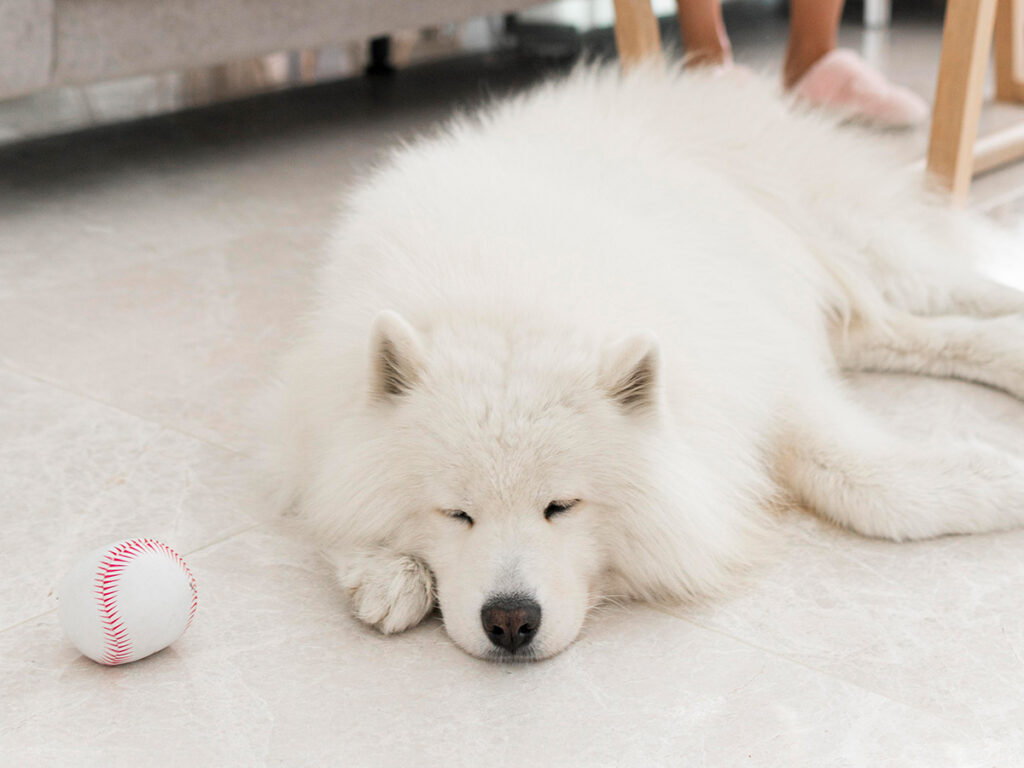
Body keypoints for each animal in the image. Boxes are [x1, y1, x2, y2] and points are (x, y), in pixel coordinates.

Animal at [260, 61, 1024, 663]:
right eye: (457, 514)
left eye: (561, 506)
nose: (509, 620)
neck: (508, 301)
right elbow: (335, 501)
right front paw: (387, 574)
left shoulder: (757, 366)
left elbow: (858, 479)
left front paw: (990, 481)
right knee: (905, 332)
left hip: (855, 241)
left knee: (954, 288)